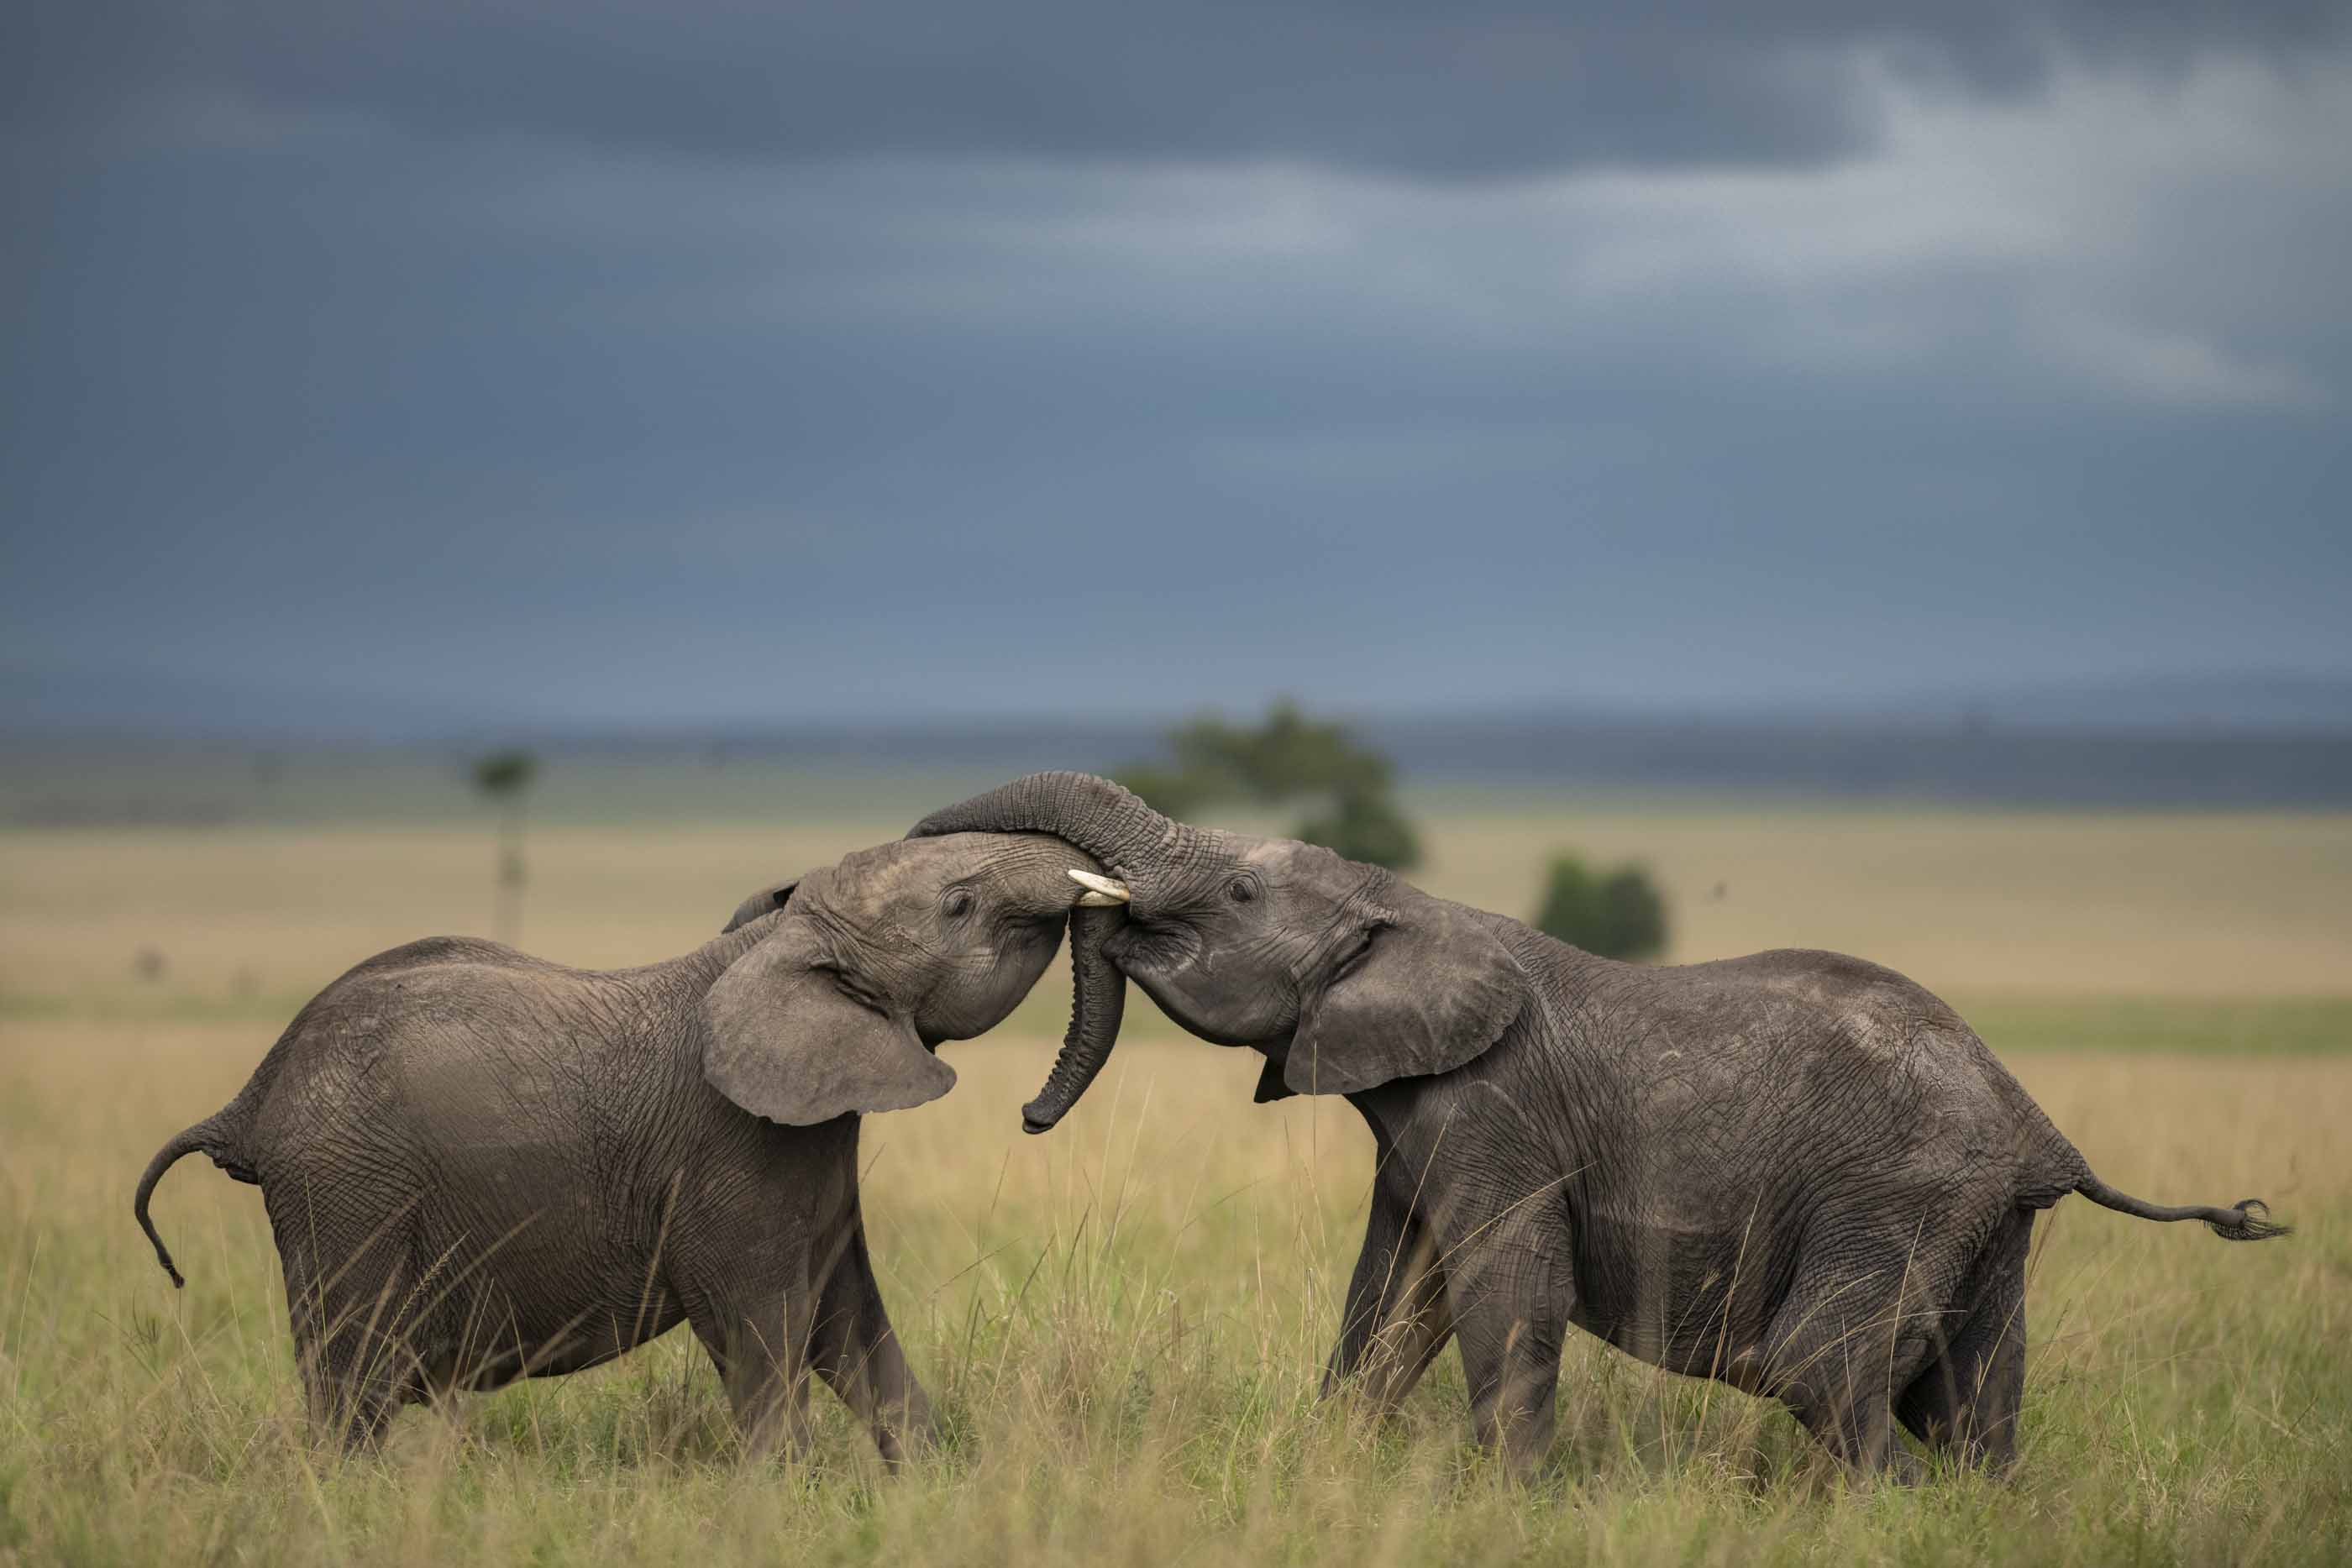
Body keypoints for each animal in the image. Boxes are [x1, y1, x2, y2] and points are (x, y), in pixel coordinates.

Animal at [133, 831, 1126, 1456]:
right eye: (960, 904)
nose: (1033, 1116)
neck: (772, 945)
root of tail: (253, 1096)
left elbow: (849, 1326)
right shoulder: (732, 1156)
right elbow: (760, 1333)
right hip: (345, 1193)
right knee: (352, 1380)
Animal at [908, 773, 2289, 1480]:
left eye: (1243, 891)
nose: (1025, 1111)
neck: (1411, 906)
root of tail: (2037, 1123)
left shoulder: (1498, 1115)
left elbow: (1501, 1287)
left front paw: (1507, 1503)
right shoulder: (1423, 1126)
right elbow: (1393, 1296)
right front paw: (1330, 1464)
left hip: (1896, 1193)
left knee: (1820, 1368)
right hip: (1981, 1218)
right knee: (1973, 1395)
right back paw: (1973, 1507)